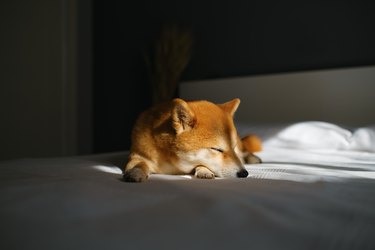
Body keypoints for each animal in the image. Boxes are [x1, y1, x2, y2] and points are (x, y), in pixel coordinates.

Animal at [123, 98, 262, 183]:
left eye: (232, 148)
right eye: (217, 149)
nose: (244, 173)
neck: (173, 163)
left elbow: (201, 164)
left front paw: (204, 171)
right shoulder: (138, 155)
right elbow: (138, 164)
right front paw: (135, 172)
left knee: (244, 152)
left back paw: (253, 158)